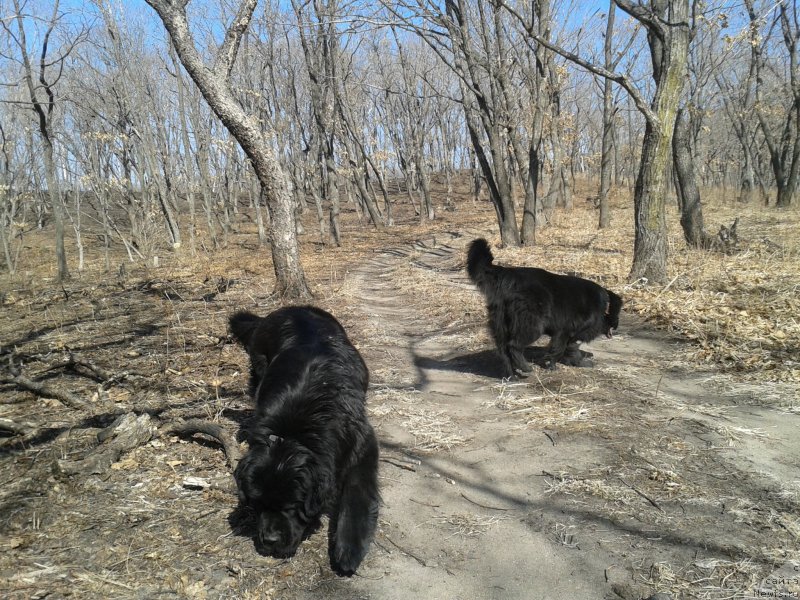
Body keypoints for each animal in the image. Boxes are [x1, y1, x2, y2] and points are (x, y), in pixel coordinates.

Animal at [228, 304, 382, 576]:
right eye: (258, 504)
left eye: (291, 507)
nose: (270, 540)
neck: (295, 434)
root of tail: (290, 308)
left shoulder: (361, 443)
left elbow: (357, 494)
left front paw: (348, 549)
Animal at [466, 238, 620, 376]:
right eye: (617, 314)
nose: (617, 326)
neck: (603, 308)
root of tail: (507, 276)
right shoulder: (568, 330)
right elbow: (561, 348)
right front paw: (553, 365)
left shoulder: (568, 334)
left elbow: (570, 348)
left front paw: (576, 362)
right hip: (532, 324)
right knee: (513, 345)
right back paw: (525, 367)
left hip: (501, 321)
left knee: (503, 350)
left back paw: (512, 374)